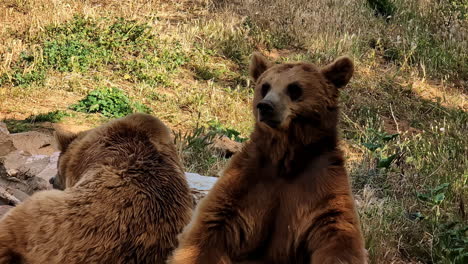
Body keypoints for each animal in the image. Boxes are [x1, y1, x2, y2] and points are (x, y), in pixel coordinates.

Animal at [167, 52, 366, 262]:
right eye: (265, 87)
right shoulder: (247, 182)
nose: (266, 106)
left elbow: (337, 233)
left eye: (294, 88)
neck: (285, 155)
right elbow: (208, 228)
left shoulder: (320, 183)